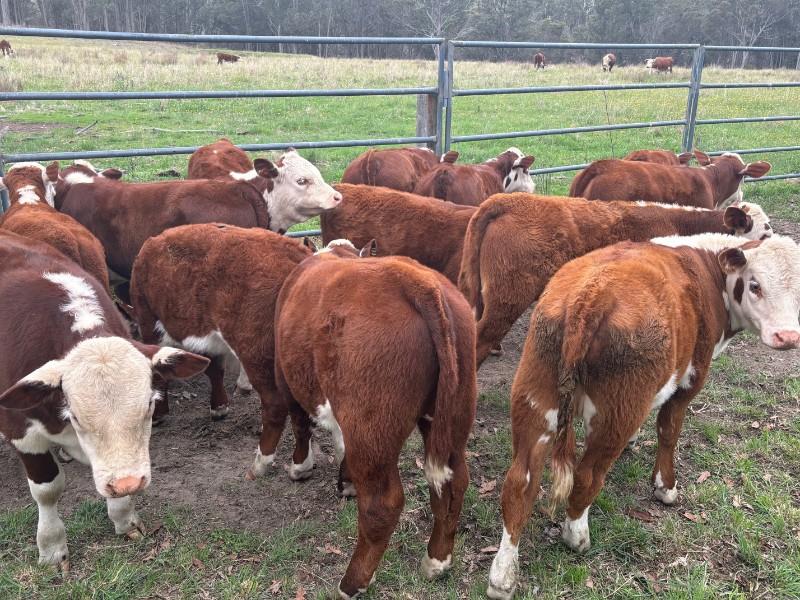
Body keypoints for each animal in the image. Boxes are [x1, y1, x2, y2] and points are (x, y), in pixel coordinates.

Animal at [0, 231, 208, 572]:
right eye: (75, 416)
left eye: (149, 405)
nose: (128, 483)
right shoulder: (20, 430)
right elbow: (47, 489)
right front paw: (52, 546)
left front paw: (124, 517)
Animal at [273, 241, 477, 598]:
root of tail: (417, 280)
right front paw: (346, 480)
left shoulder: (288, 380)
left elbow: (300, 425)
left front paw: (300, 467)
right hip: (451, 419)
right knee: (453, 482)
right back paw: (437, 561)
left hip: (371, 429)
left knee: (382, 505)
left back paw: (351, 583)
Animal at [486, 233, 800, 599]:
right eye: (755, 285)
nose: (787, 337)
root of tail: (590, 295)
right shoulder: (688, 382)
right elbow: (668, 430)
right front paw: (665, 487)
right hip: (618, 411)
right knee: (587, 475)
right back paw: (576, 535)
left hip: (536, 393)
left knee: (519, 482)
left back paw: (503, 575)